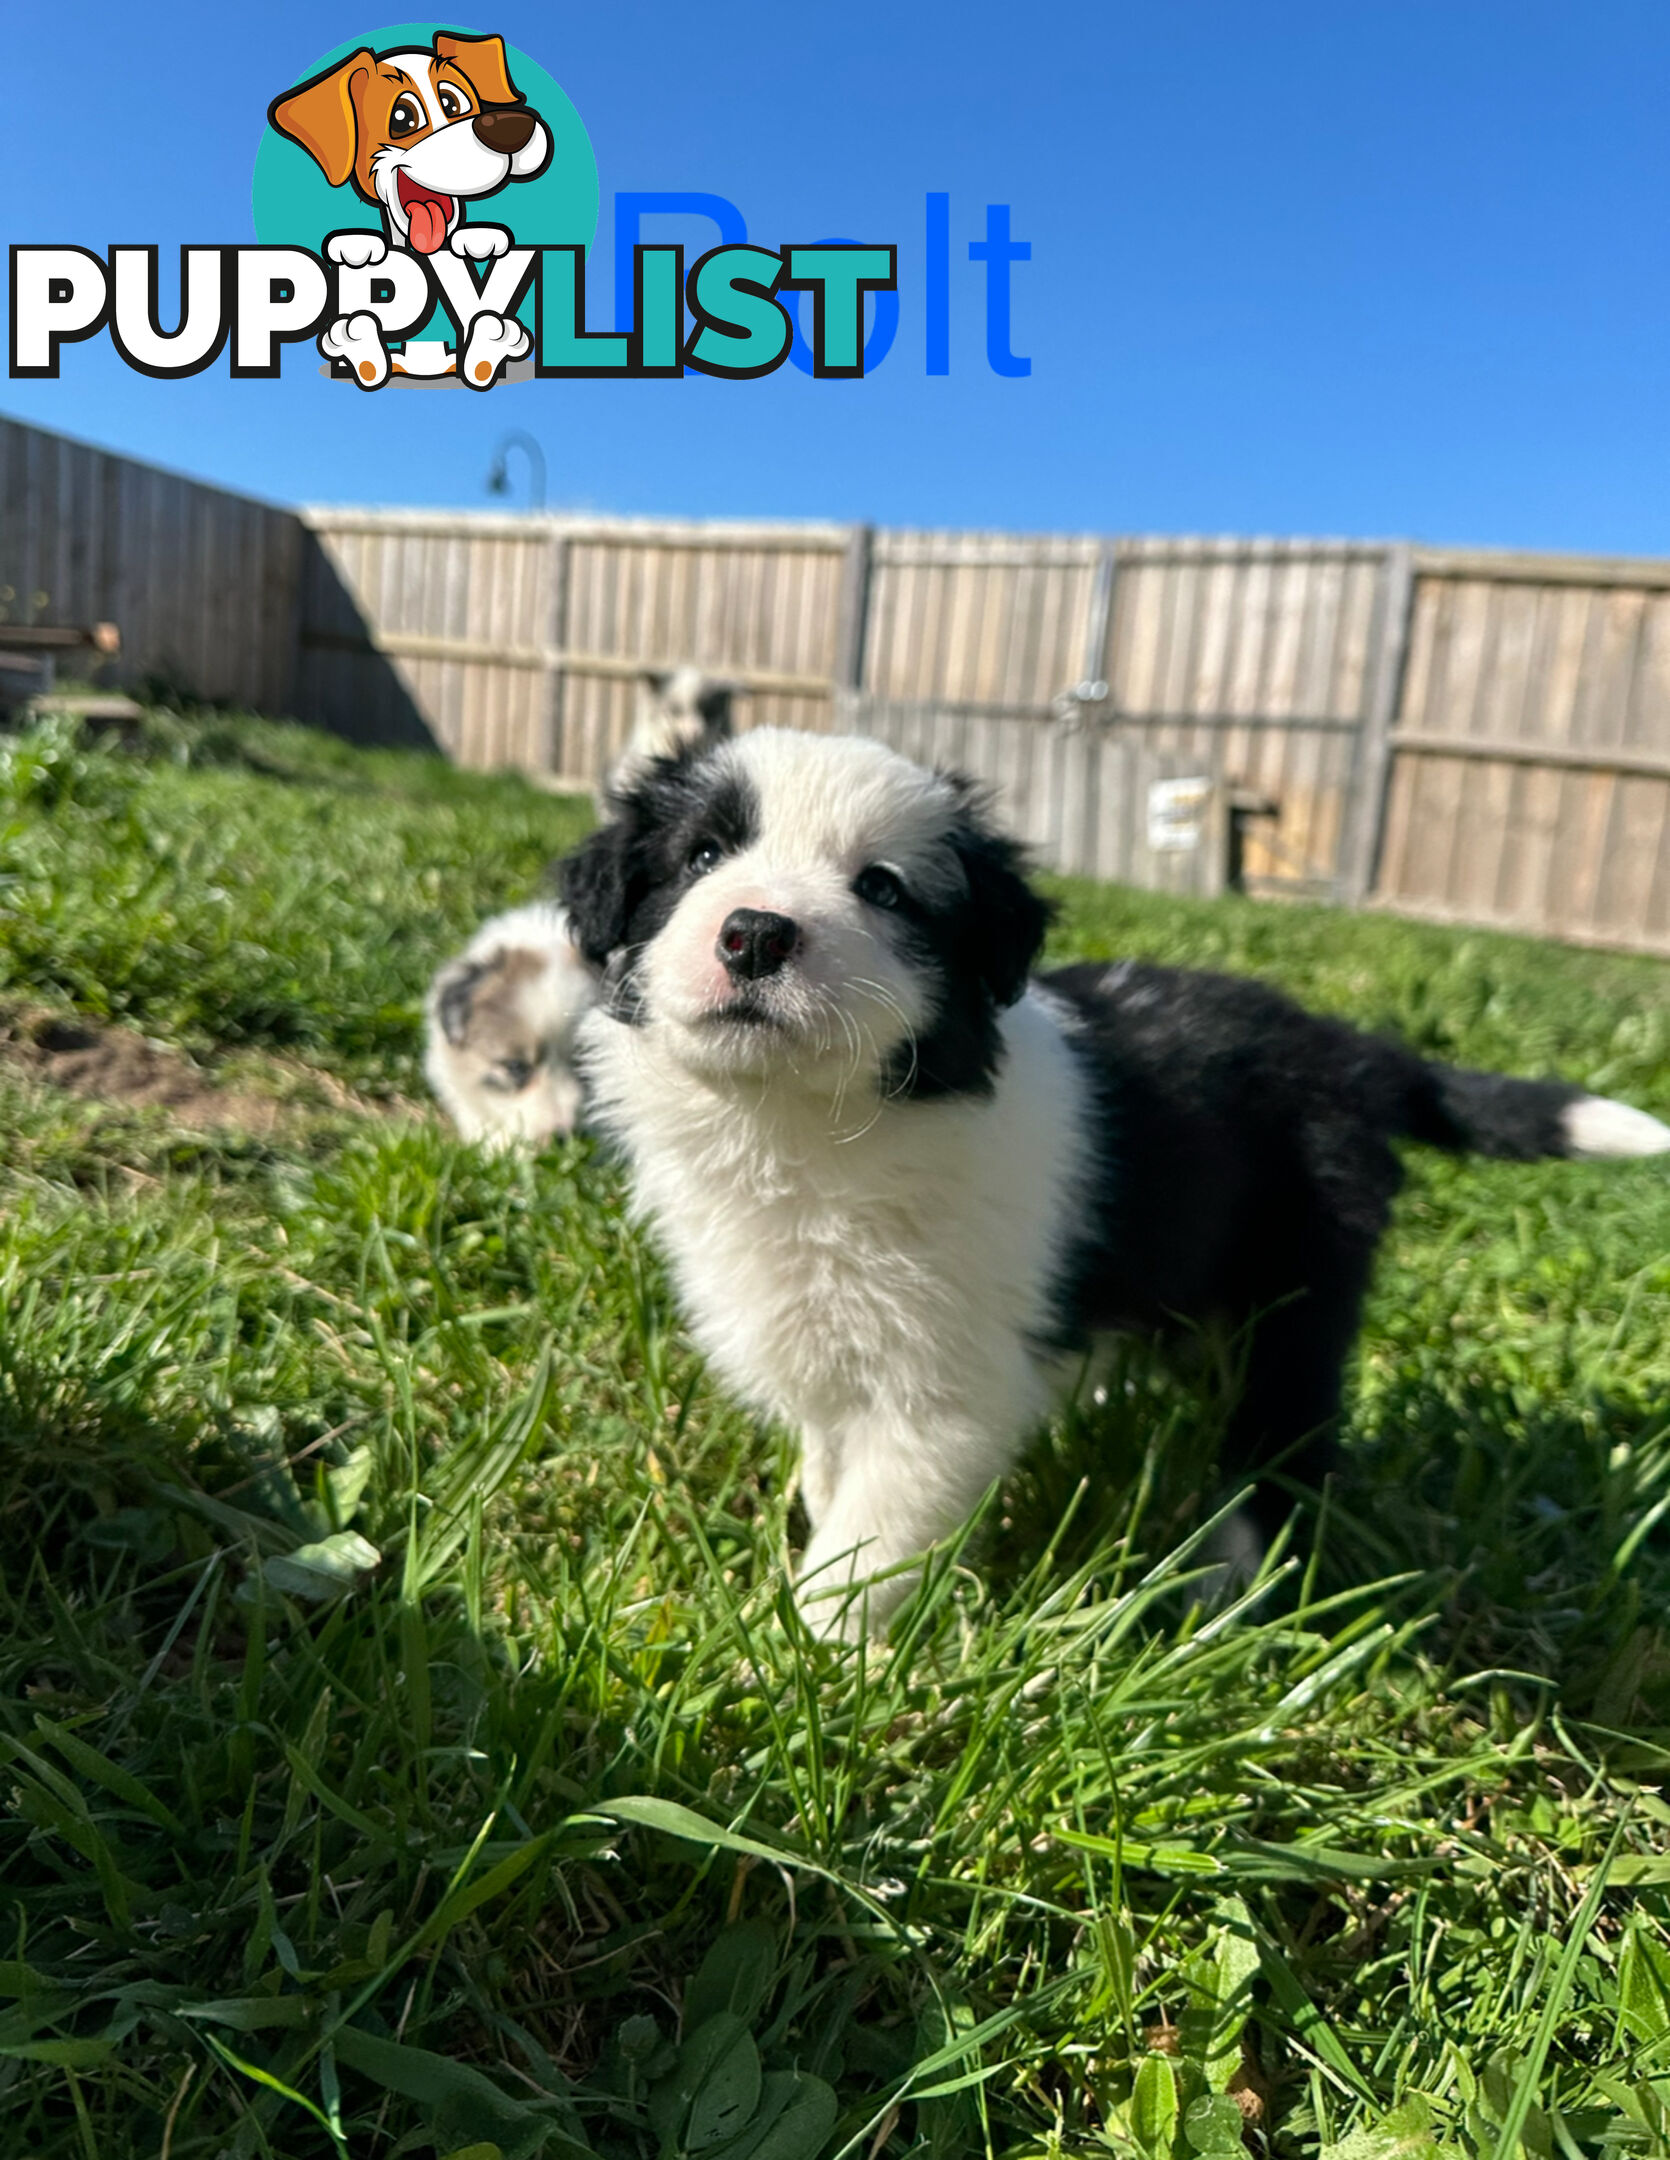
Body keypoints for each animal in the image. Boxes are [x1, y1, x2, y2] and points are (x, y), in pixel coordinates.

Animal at [561, 725, 1667, 1632]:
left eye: (881, 887)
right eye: (701, 857)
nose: (754, 932)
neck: (806, 1123)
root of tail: (1350, 1050)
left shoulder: (944, 1397)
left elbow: (865, 1543)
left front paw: (811, 1667)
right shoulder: (825, 1356)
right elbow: (832, 1482)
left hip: (1292, 1295)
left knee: (1284, 1444)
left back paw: (1231, 1598)